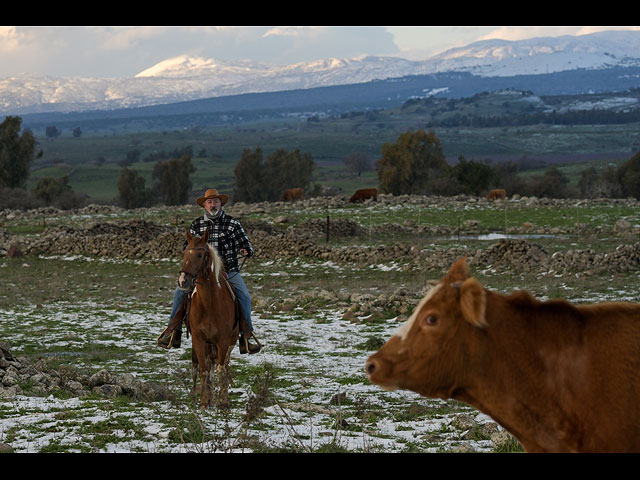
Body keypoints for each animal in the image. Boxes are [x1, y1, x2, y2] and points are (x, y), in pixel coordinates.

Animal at [179, 229, 241, 408]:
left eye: (200, 255)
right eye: (185, 252)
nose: (183, 281)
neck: (209, 303)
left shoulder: (223, 341)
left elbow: (221, 371)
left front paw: (222, 403)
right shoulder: (199, 339)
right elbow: (204, 370)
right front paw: (203, 403)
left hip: (229, 343)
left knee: (224, 367)